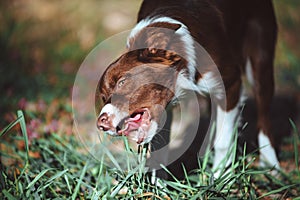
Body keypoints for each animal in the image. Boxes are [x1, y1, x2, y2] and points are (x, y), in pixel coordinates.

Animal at [95, 0, 278, 173]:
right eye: (103, 97)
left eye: (122, 82)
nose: (101, 124)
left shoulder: (230, 85)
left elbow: (223, 141)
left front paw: (219, 177)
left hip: (260, 56)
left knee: (263, 115)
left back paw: (271, 163)